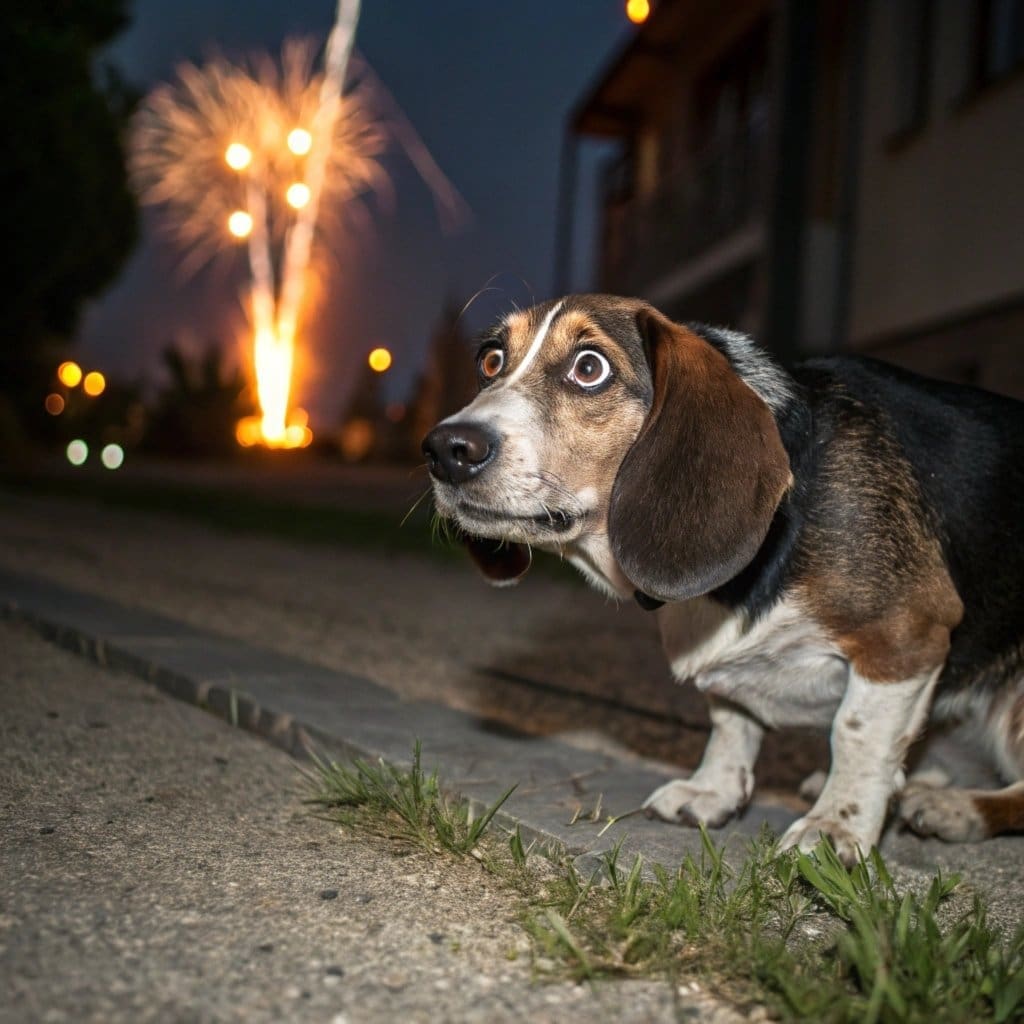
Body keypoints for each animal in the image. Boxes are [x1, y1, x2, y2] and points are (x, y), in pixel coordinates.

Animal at [421, 296, 1024, 864]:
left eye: (589, 367)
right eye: (490, 360)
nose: (447, 449)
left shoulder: (906, 634)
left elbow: (857, 731)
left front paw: (837, 827)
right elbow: (732, 721)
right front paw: (713, 791)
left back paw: (953, 809)